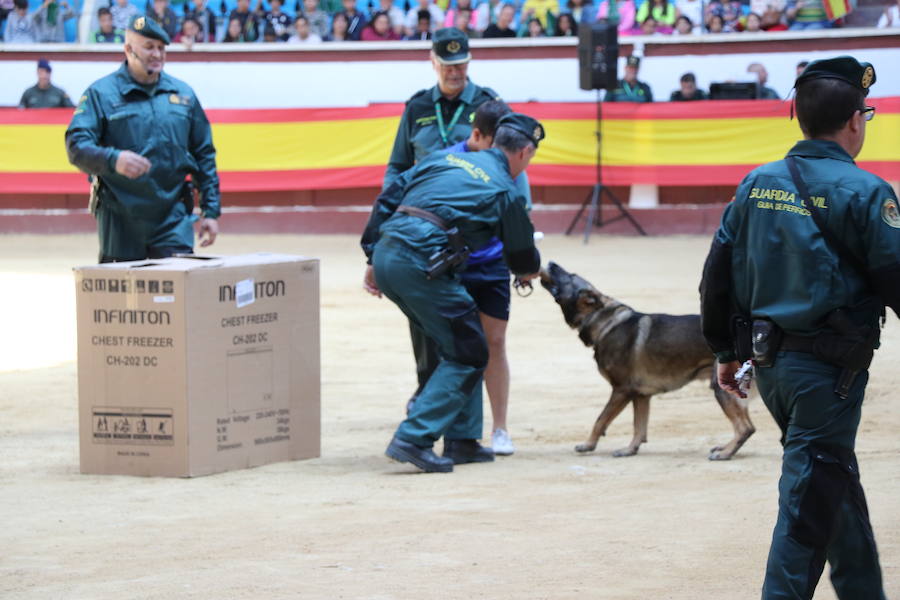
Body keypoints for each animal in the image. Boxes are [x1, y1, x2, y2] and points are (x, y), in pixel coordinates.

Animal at [536, 260, 756, 462]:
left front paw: (588, 445)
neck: (604, 321)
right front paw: (630, 450)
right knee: (747, 426)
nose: (551, 262)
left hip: (722, 387)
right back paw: (724, 448)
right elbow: (639, 427)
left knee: (746, 428)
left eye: (571, 276)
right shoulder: (641, 396)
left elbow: (601, 419)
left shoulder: (621, 390)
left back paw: (725, 453)